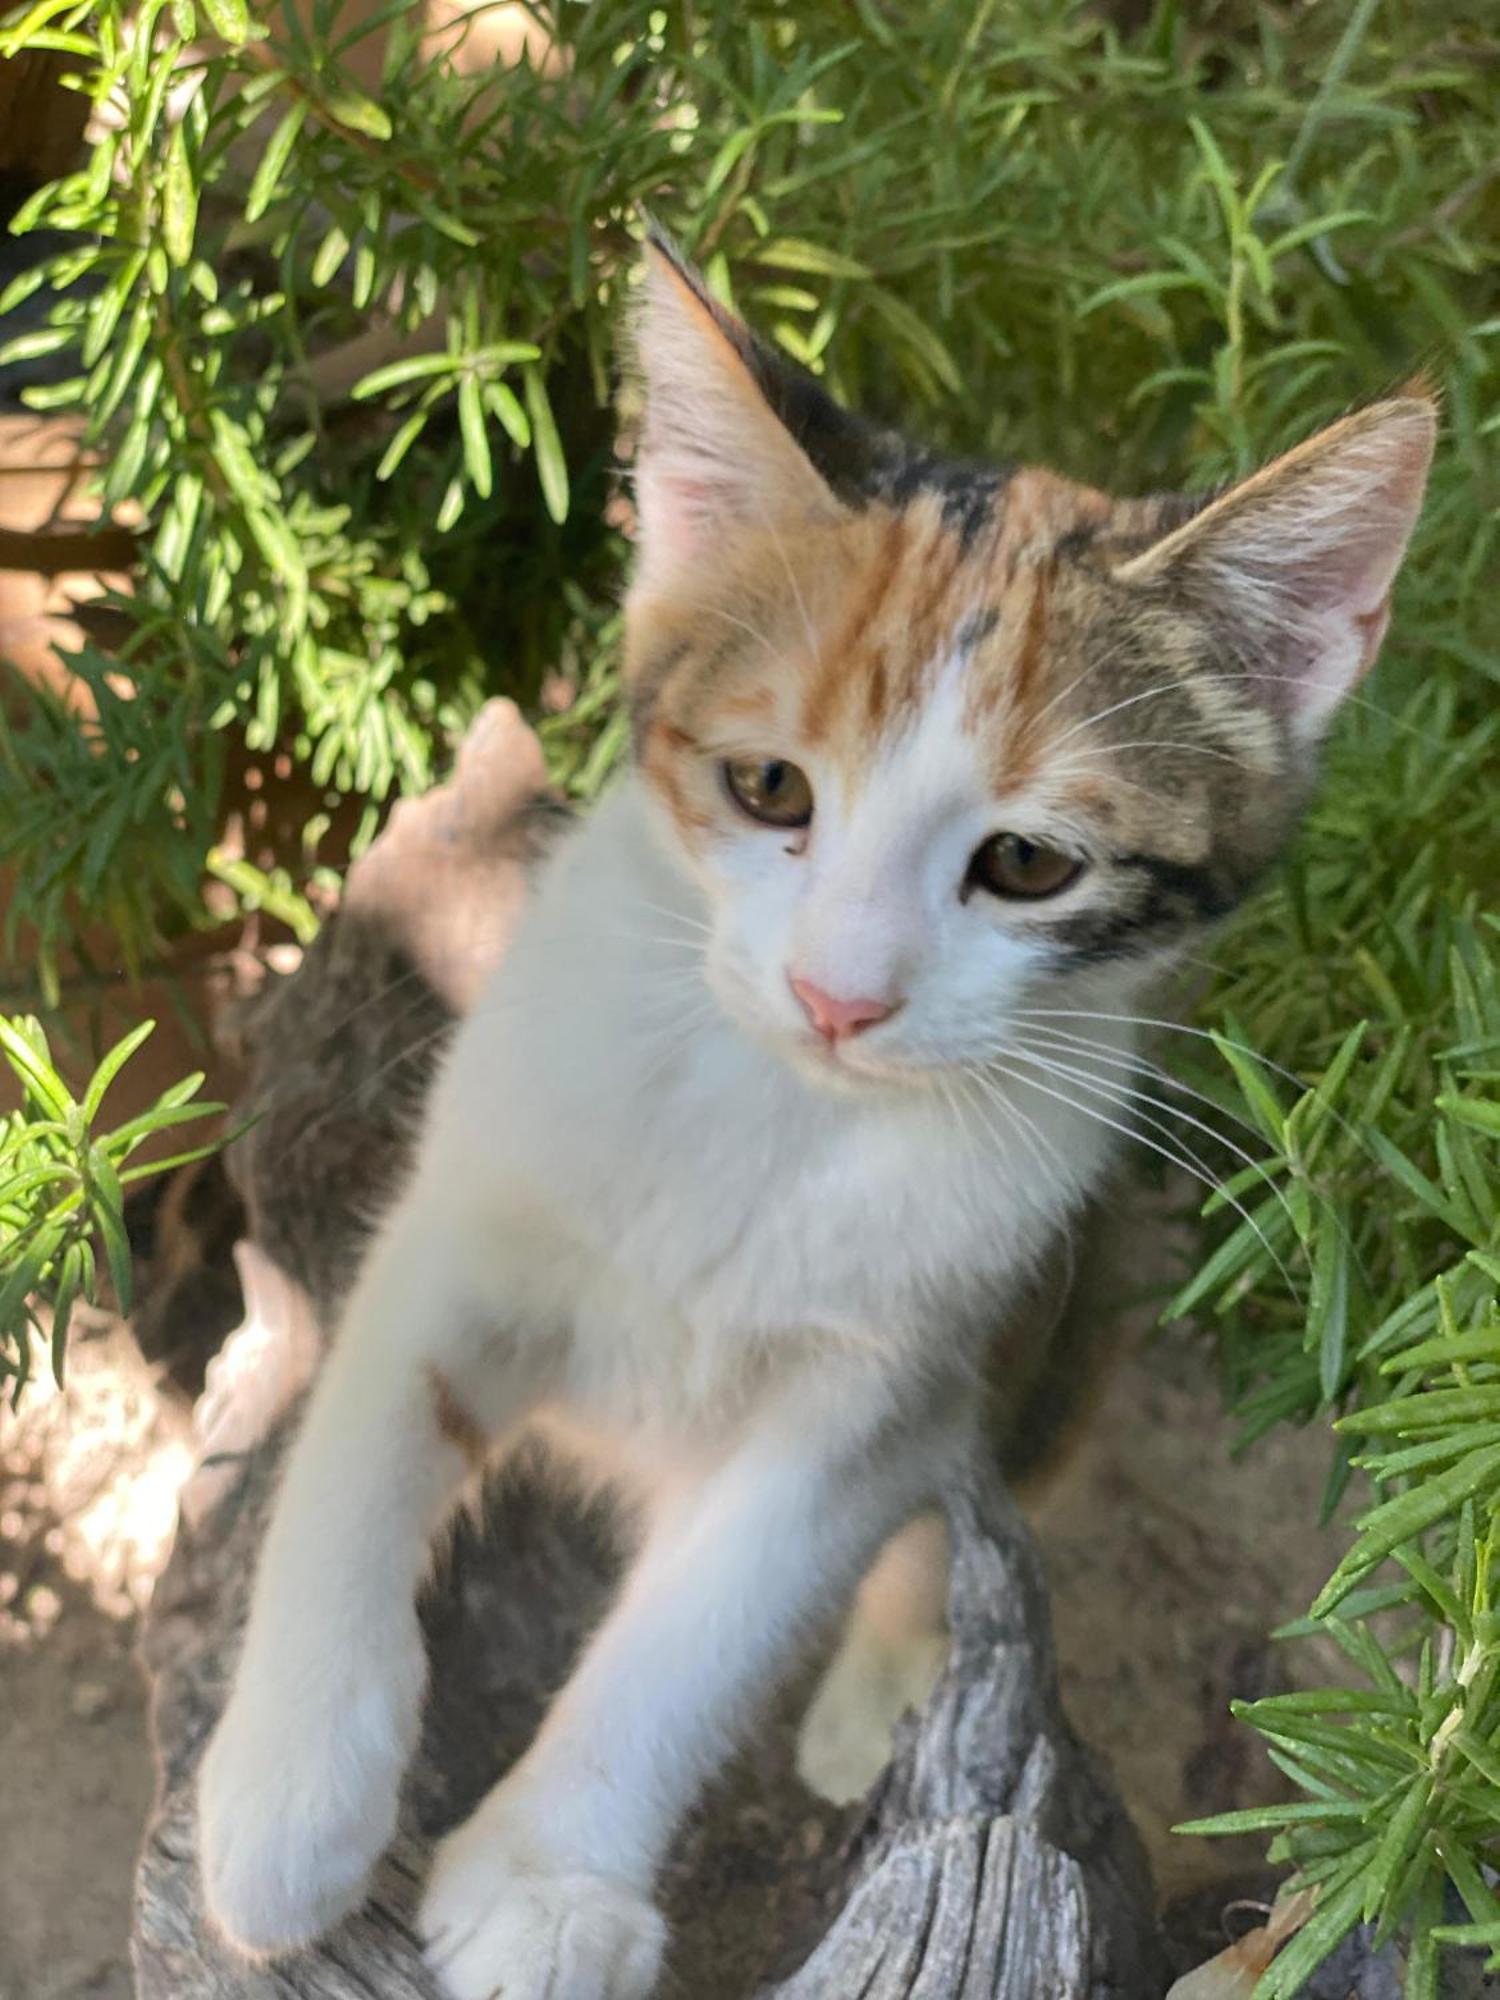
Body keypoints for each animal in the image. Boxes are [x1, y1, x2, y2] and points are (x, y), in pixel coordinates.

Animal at [197, 227, 1432, 1992]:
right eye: (769, 787)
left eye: (1028, 863)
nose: (840, 995)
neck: (771, 1117)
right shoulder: (464, 1211)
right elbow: (353, 1450)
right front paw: (290, 1797)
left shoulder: (879, 1385)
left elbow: (710, 1623)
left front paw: (550, 1882)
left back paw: (882, 1693)